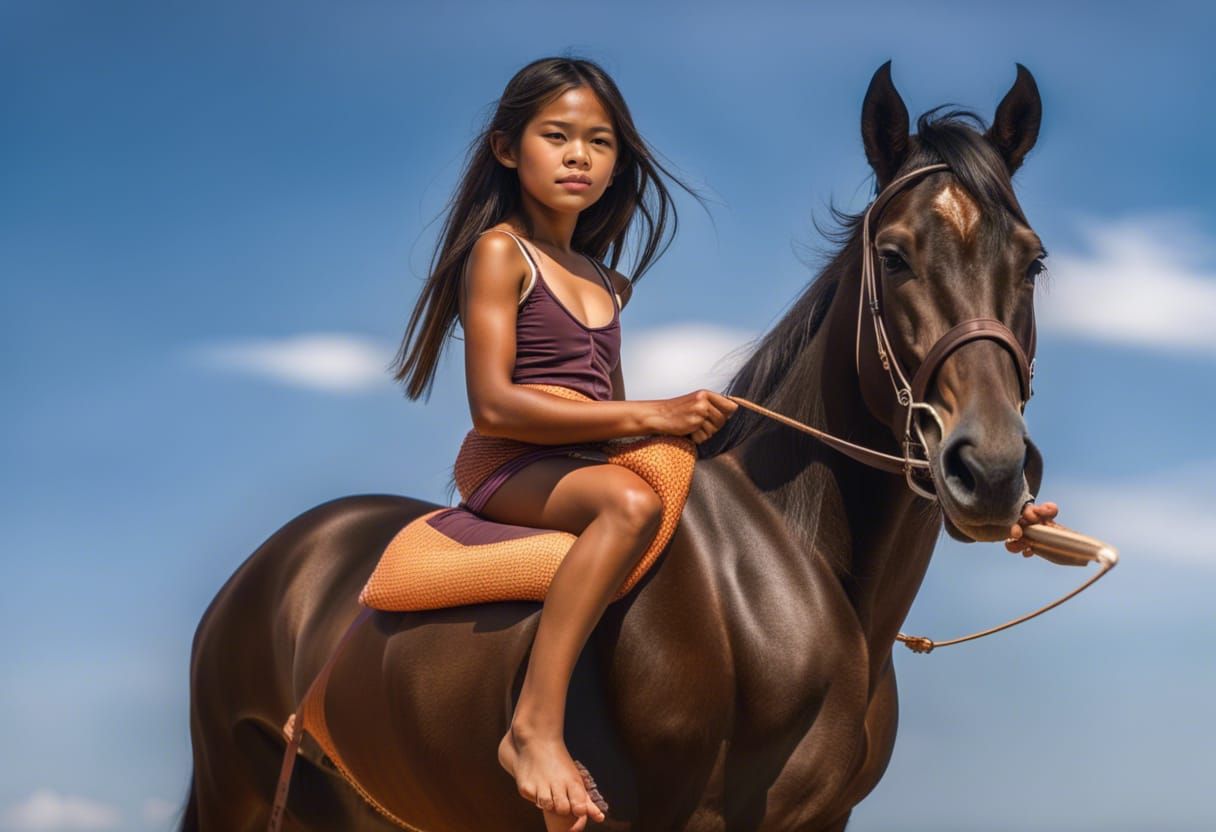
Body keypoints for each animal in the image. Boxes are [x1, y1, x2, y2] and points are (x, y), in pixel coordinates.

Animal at [180, 60, 1049, 831]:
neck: (789, 573)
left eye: (1034, 261)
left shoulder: (823, 818)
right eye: (894, 255)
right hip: (237, 790)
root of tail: (281, 558)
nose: (990, 469)